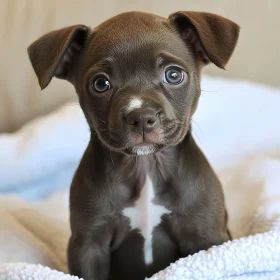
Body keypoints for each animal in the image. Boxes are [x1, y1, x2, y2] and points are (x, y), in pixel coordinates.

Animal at [27, 10, 238, 280]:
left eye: (173, 75)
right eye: (101, 84)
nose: (141, 116)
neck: (145, 165)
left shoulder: (204, 235)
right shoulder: (89, 245)